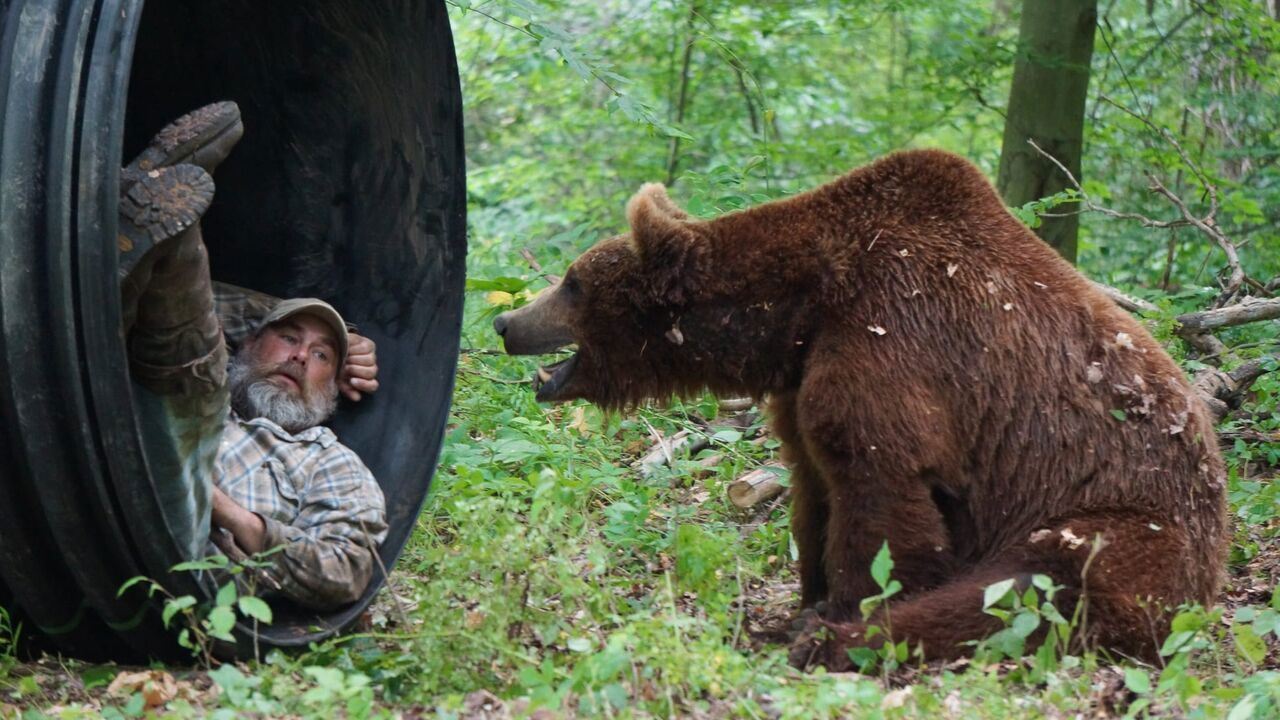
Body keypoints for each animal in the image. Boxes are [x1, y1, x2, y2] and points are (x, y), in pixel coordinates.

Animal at [491, 148, 1228, 671]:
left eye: (572, 283)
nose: (504, 321)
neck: (801, 307)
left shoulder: (892, 343)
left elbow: (878, 498)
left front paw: (836, 612)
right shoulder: (802, 380)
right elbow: (814, 486)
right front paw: (805, 600)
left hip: (1123, 524)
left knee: (1030, 591)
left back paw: (839, 643)